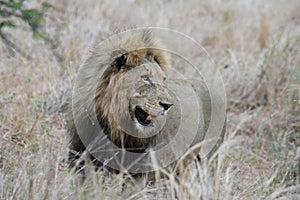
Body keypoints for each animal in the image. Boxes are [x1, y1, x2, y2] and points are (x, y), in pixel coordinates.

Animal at [67, 30, 225, 181]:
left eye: (163, 79)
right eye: (145, 78)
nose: (168, 105)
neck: (112, 123)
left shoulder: (138, 171)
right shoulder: (79, 157)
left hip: (208, 158)